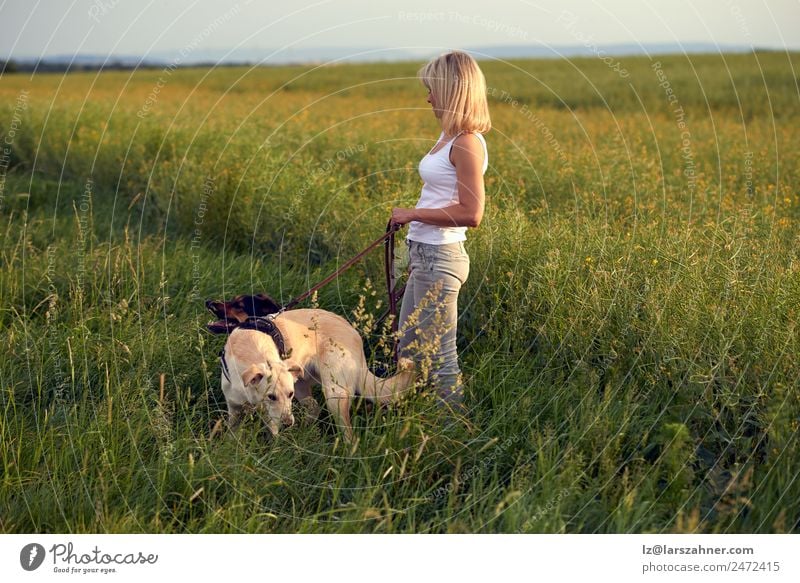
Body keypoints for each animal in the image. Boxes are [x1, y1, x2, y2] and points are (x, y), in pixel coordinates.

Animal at [206, 294, 416, 440]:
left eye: (239, 305)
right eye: (271, 396)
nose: (209, 303)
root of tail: (355, 334)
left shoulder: (274, 417)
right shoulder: (234, 410)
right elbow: (233, 436)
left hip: (333, 395)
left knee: (349, 435)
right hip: (301, 384)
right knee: (314, 407)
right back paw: (304, 430)